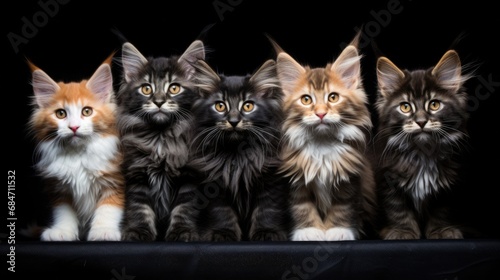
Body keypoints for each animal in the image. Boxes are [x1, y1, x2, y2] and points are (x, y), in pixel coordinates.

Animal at [27, 55, 125, 241]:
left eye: (86, 111)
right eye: (61, 114)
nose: (73, 127)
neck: (78, 155)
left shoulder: (115, 182)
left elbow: (108, 208)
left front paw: (103, 231)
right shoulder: (59, 187)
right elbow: (64, 211)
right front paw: (62, 231)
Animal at [117, 39, 205, 241]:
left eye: (174, 88)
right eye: (146, 88)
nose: (158, 101)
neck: (161, 139)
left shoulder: (190, 177)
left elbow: (184, 208)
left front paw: (182, 231)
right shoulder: (136, 174)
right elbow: (140, 208)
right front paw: (138, 231)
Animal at [166, 58, 292, 241]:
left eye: (248, 106)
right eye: (220, 106)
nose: (233, 121)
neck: (236, 154)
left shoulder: (270, 181)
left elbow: (267, 210)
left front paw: (266, 232)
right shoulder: (213, 183)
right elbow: (222, 213)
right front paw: (223, 233)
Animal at [276, 37, 376, 241]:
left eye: (333, 97)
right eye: (306, 100)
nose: (321, 113)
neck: (322, 144)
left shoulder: (350, 179)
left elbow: (343, 207)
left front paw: (338, 230)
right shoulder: (296, 178)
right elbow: (302, 206)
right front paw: (308, 231)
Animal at [376, 49, 472, 238]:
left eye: (434, 105)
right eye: (405, 107)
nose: (421, 122)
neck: (422, 153)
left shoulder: (447, 185)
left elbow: (441, 211)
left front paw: (440, 230)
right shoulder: (388, 181)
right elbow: (397, 209)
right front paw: (402, 231)